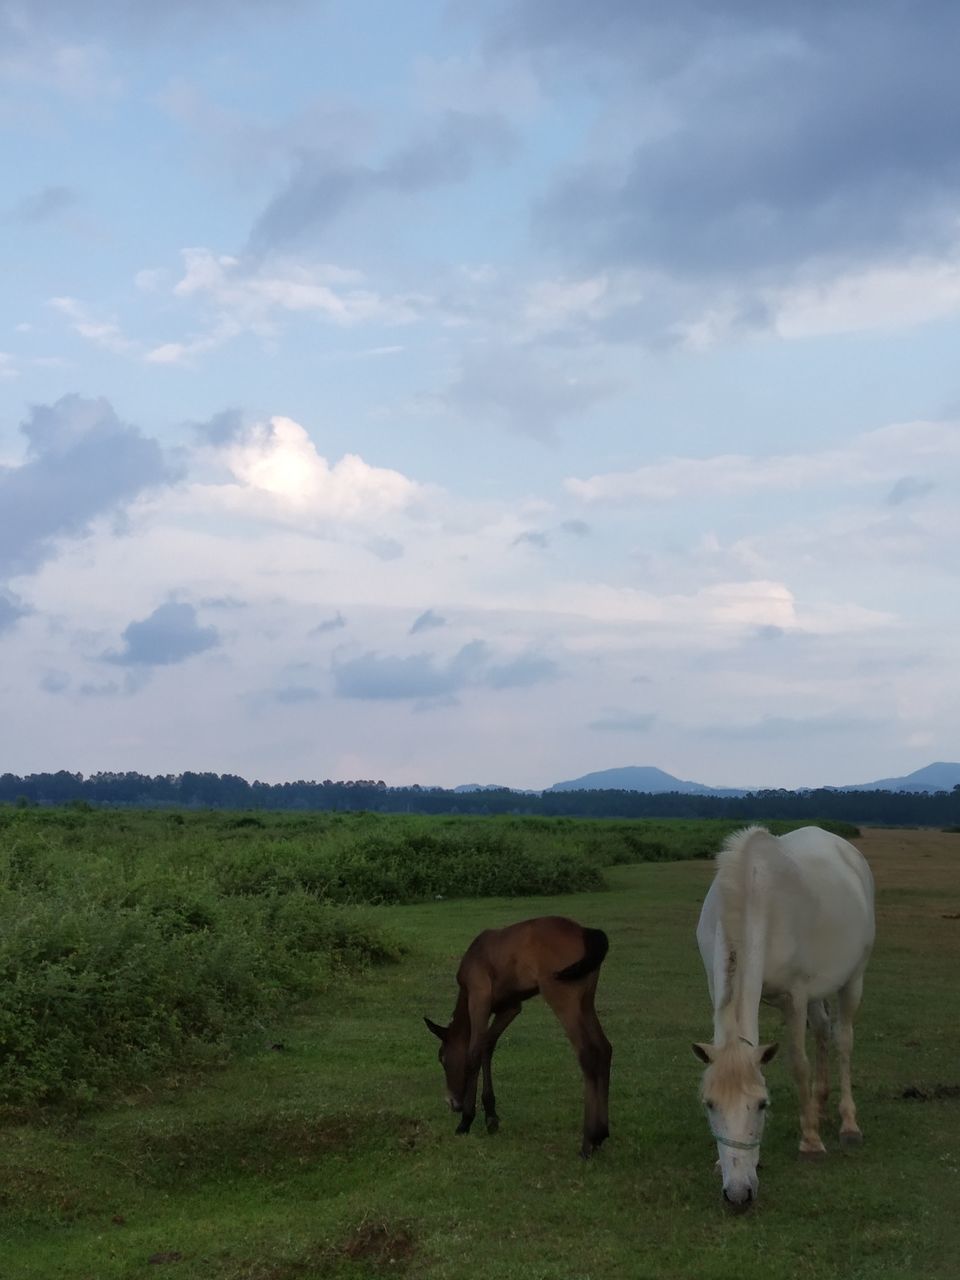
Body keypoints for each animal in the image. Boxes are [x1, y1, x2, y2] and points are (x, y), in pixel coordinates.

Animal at [424, 916, 611, 1157]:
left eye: (443, 1059)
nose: (452, 1102)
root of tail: (586, 932)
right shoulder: (510, 1006)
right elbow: (487, 1046)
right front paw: (491, 1116)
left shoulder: (479, 997)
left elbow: (473, 1053)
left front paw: (466, 1121)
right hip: (586, 1000)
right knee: (604, 1048)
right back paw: (601, 1134)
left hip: (562, 995)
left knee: (588, 1053)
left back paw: (588, 1140)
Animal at [696, 829, 875, 1208]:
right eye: (710, 1104)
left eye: (762, 1105)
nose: (738, 1194)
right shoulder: (715, 984)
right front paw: (720, 1163)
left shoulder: (795, 996)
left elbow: (798, 1064)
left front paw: (811, 1143)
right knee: (822, 1030)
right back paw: (818, 1107)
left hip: (852, 981)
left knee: (843, 1040)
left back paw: (847, 1125)